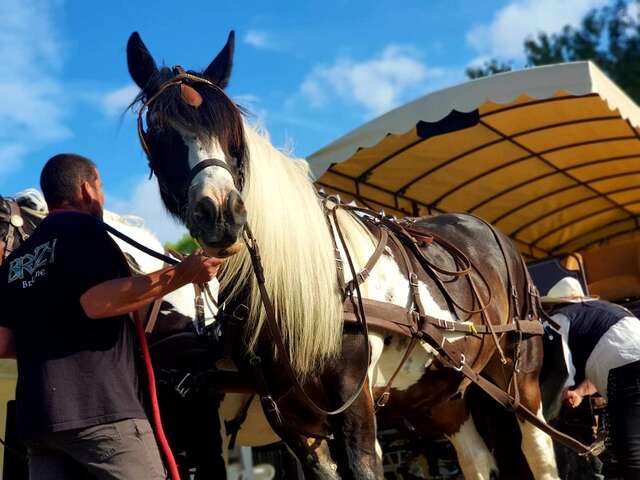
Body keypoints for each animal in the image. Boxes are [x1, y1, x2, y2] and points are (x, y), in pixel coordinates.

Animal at [126, 31, 560, 479]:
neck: (296, 290)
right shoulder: (289, 418)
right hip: (440, 395)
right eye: (157, 130)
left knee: (539, 452)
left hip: (520, 378)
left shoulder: (351, 399)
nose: (221, 213)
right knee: (475, 458)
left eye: (232, 132)